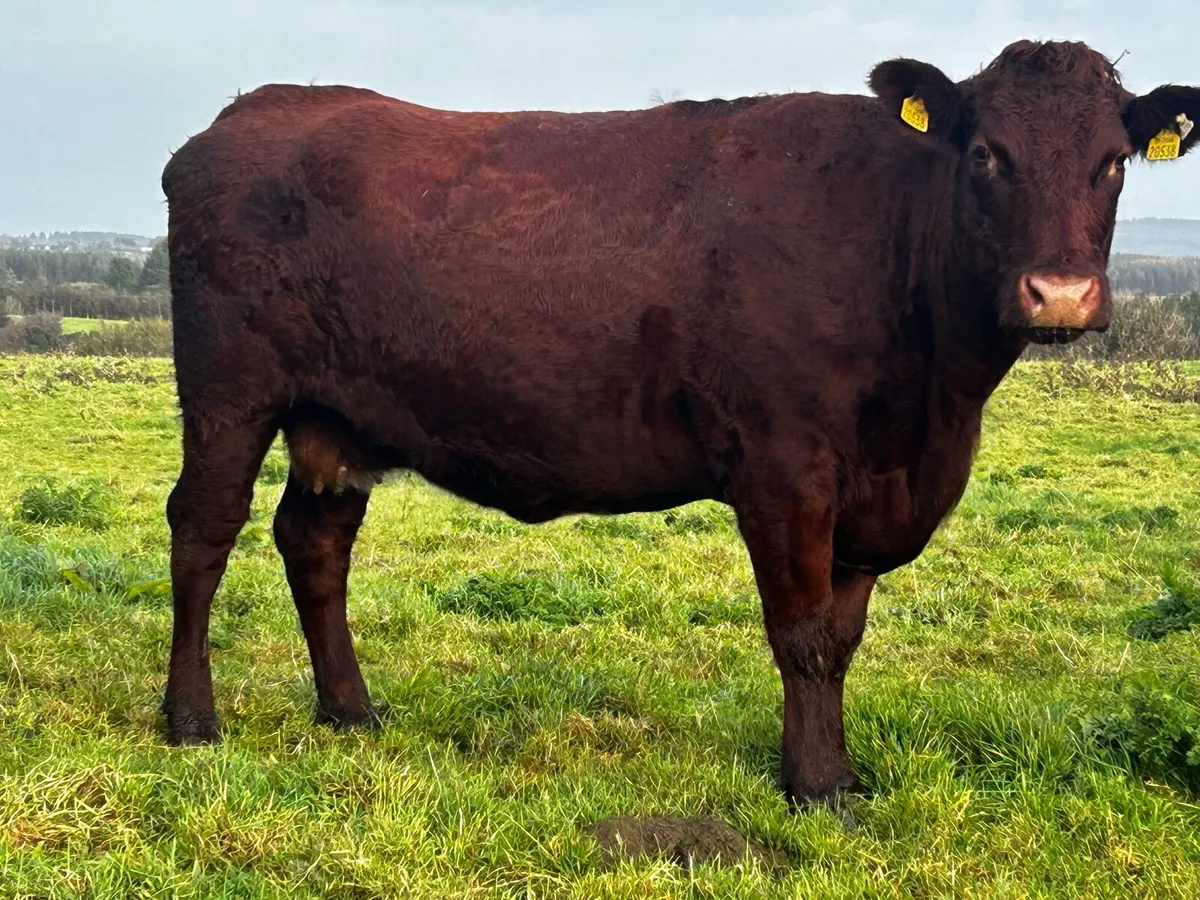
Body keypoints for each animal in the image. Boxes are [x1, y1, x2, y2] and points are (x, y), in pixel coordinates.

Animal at [159, 39, 1199, 813]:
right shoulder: (785, 473)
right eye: (986, 154)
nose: (1058, 294)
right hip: (228, 392)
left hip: (332, 417)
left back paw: (351, 712)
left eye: (1112, 162)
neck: (934, 410)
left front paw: (838, 770)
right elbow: (803, 634)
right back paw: (189, 722)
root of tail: (248, 113)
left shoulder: (872, 492)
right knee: (203, 531)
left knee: (315, 541)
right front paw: (815, 787)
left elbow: (843, 636)